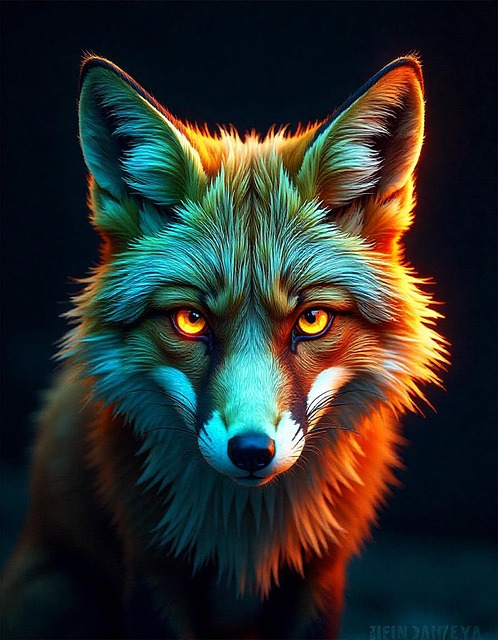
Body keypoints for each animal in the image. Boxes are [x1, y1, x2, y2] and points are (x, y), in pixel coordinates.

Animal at [1, 55, 448, 639]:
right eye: (191, 321)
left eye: (312, 320)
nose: (251, 452)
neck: (245, 543)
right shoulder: (154, 572)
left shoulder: (317, 578)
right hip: (57, 596)